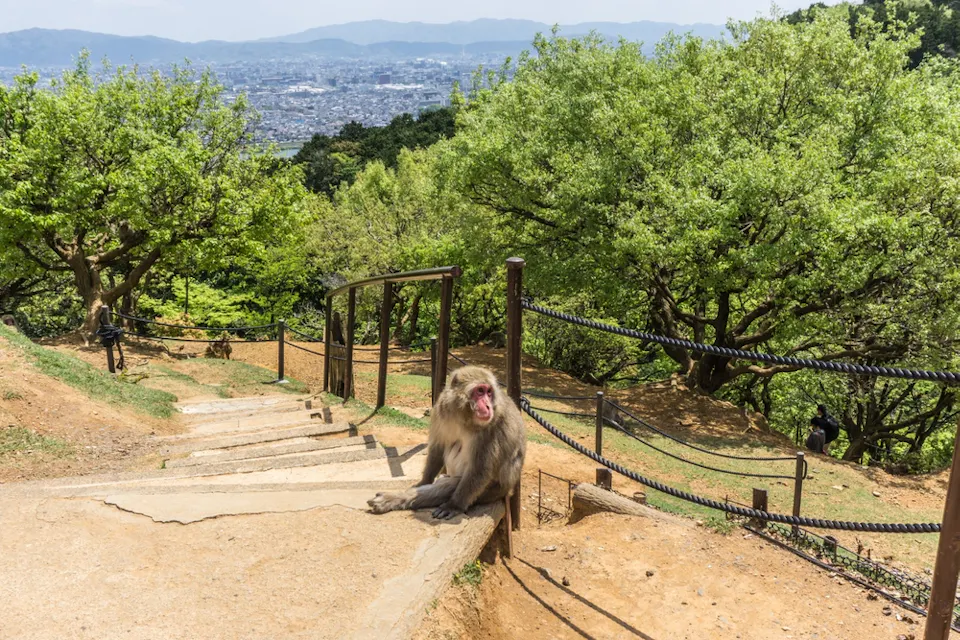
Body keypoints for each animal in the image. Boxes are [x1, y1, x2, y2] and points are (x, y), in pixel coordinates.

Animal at [367, 366, 526, 520]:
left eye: (489, 392)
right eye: (480, 391)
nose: (487, 406)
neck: (464, 417)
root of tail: (508, 490)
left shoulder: (492, 427)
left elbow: (480, 469)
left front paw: (454, 505)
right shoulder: (441, 410)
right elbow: (438, 447)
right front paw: (424, 481)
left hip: (492, 491)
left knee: (452, 485)